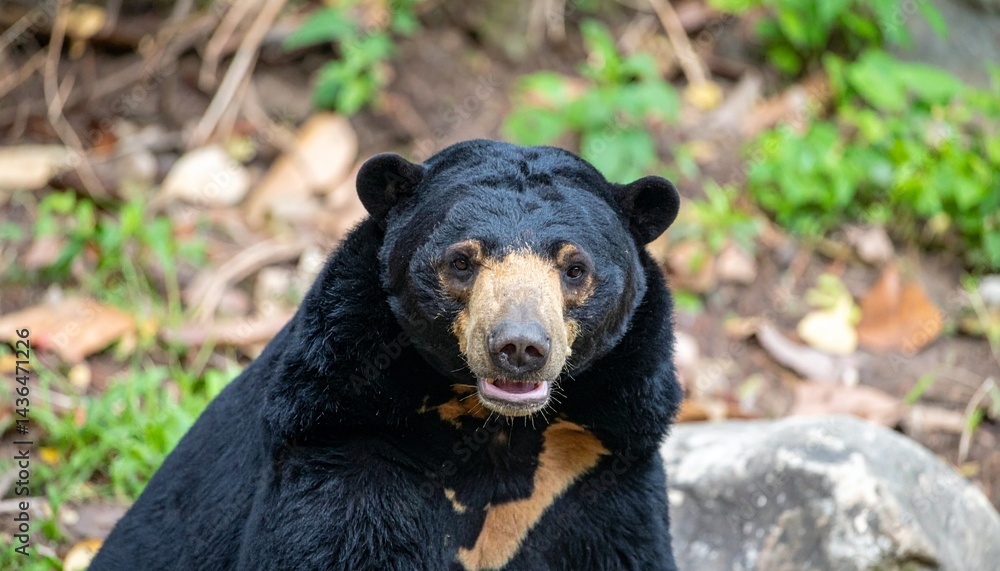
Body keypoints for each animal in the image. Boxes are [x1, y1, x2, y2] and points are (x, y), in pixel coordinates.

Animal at [90, 139, 682, 571]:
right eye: (461, 262)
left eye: (575, 268)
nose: (519, 347)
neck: (495, 429)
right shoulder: (342, 436)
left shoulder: (599, 463)